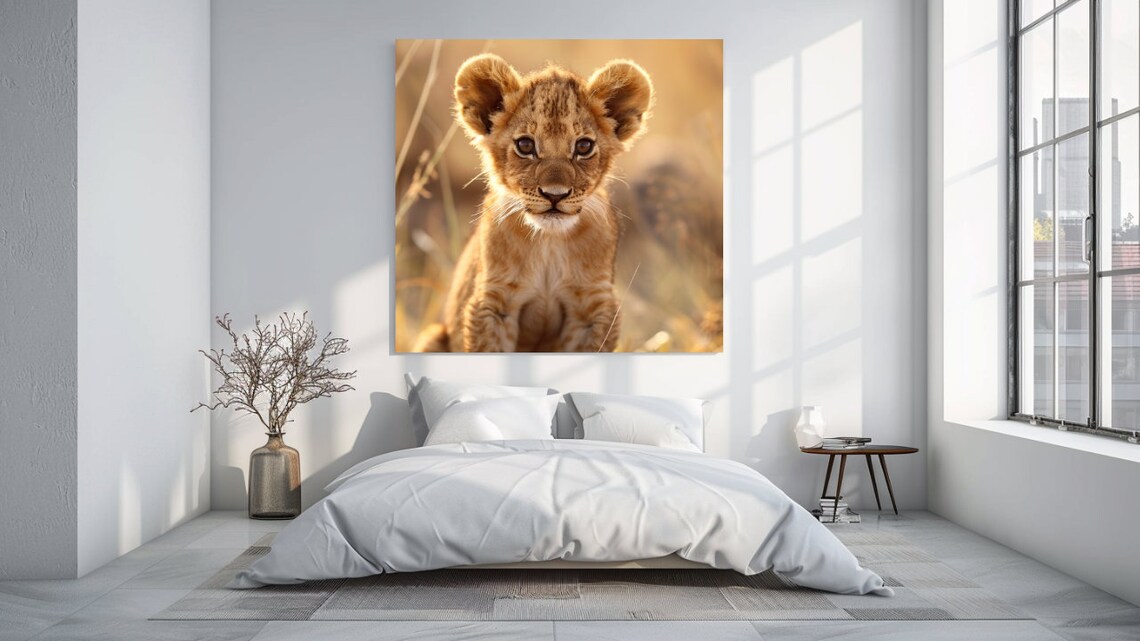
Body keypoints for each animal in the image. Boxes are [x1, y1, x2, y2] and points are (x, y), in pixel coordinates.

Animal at [413, 53, 654, 352]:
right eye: (525, 146)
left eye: (583, 146)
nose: (555, 194)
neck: (548, 242)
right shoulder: (492, 303)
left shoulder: (592, 309)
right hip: (432, 334)